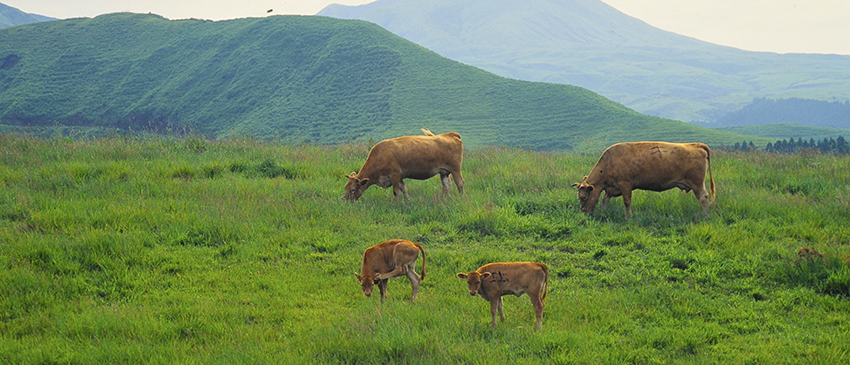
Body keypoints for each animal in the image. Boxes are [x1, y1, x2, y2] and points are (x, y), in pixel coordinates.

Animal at [568, 141, 716, 218]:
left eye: (583, 197)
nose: (584, 212)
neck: (609, 162)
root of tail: (695, 145)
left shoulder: (625, 184)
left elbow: (627, 202)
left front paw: (628, 218)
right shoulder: (611, 188)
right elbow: (605, 200)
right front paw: (602, 212)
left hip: (697, 183)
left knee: (703, 197)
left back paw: (705, 216)